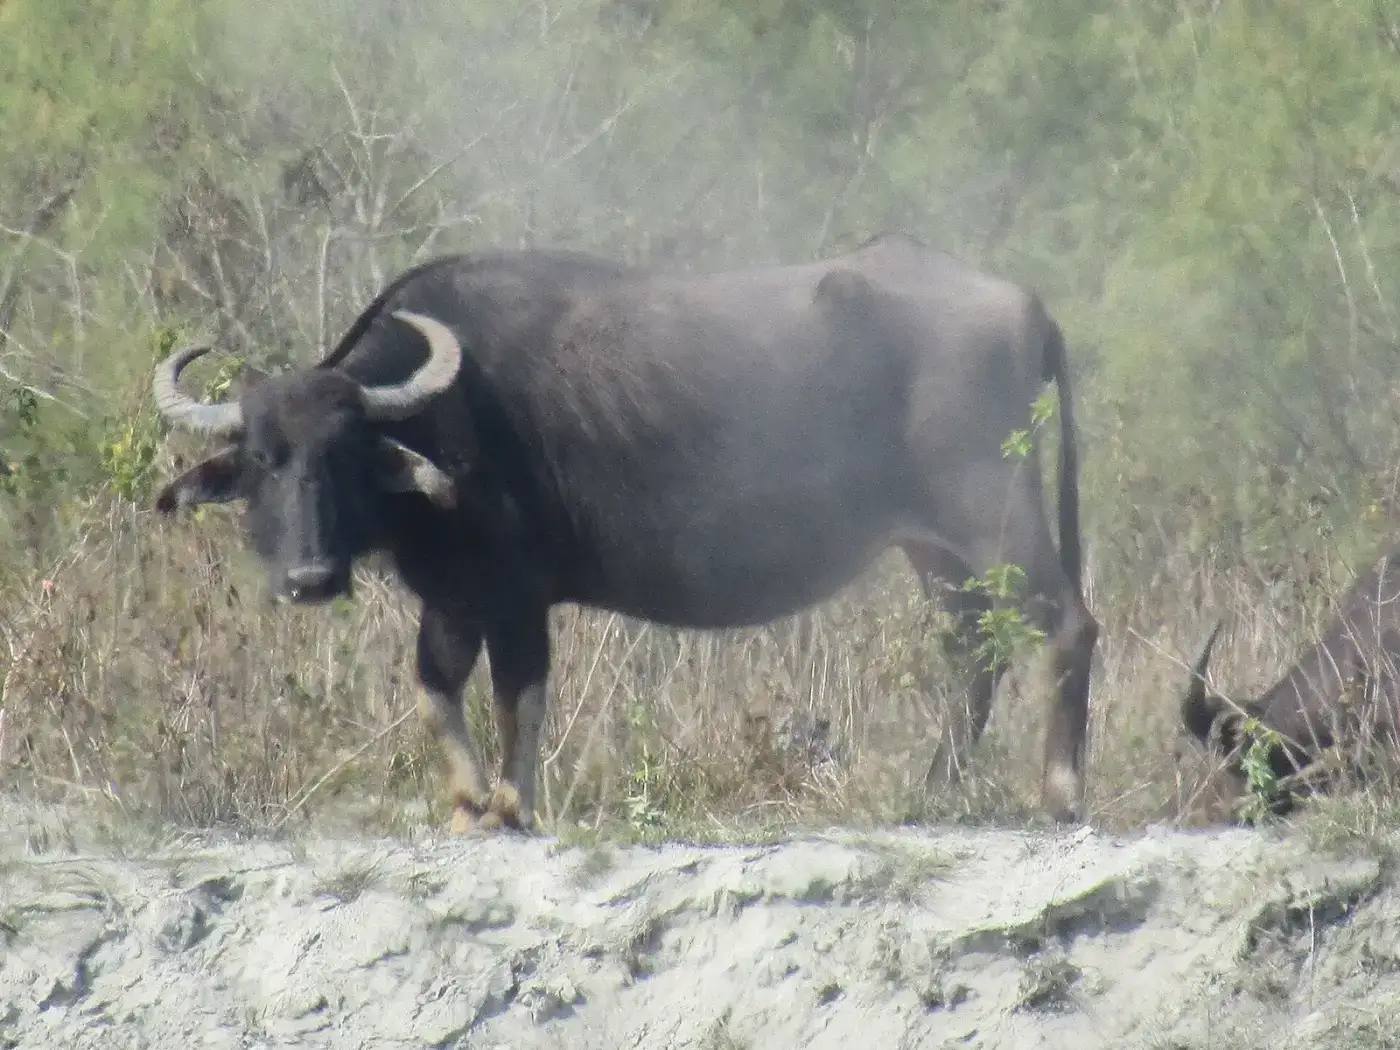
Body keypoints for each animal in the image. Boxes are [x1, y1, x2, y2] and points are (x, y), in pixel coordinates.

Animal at [152, 233, 1099, 832]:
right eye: (263, 459)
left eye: (345, 453)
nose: (309, 577)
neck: (444, 420)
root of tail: (1022, 305)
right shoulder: (452, 600)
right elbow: (435, 693)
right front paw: (466, 807)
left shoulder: (517, 597)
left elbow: (518, 697)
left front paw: (513, 805)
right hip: (936, 550)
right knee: (972, 648)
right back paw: (936, 790)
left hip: (996, 514)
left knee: (1067, 625)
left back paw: (1060, 792)